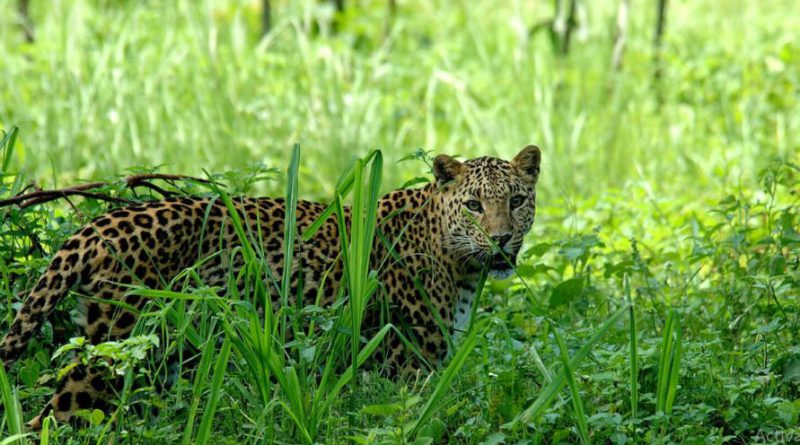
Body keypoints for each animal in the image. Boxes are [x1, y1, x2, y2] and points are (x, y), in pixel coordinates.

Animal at [1, 145, 544, 426]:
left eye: (517, 201)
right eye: (474, 205)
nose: (500, 239)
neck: (460, 265)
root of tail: (105, 221)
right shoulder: (408, 370)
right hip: (114, 356)